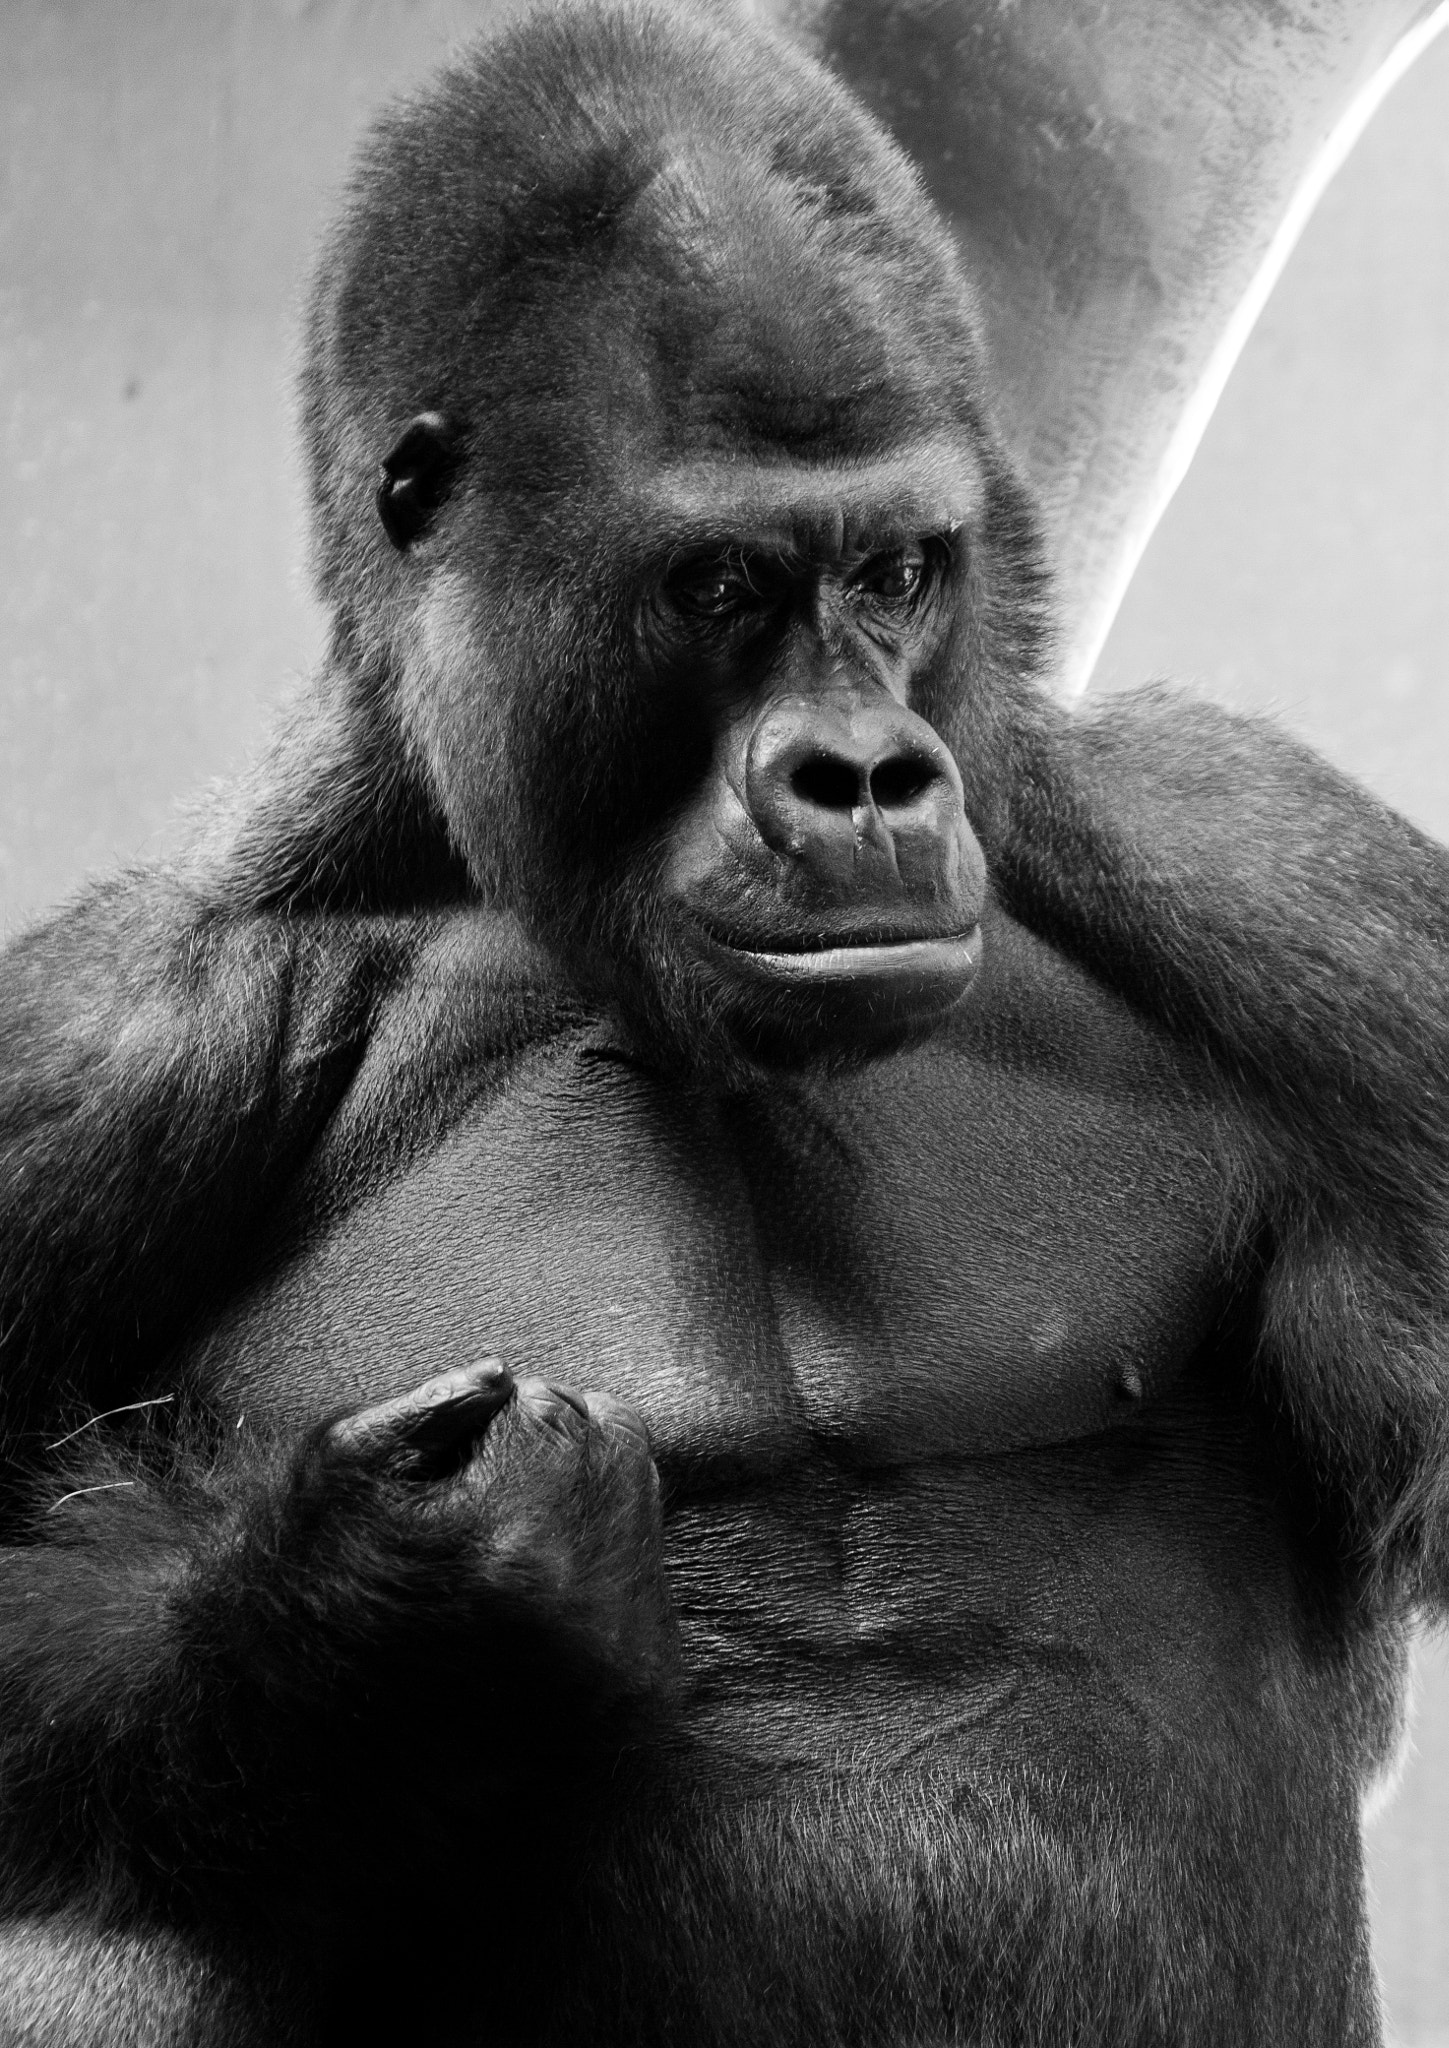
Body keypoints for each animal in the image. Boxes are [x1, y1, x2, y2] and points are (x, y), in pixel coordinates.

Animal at [0, 2, 1446, 2042]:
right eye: (721, 585)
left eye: (898, 570)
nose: (866, 777)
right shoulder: (105, 1044)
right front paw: (384, 1620)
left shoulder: (1309, 918)